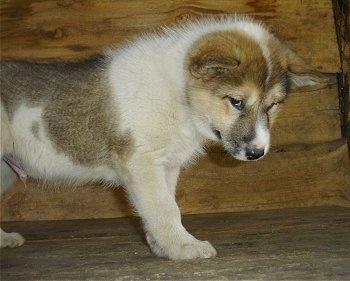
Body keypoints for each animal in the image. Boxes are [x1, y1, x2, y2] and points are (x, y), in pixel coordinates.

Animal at [0, 17, 328, 258]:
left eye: (273, 105)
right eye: (236, 102)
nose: (258, 152)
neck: (178, 94)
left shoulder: (166, 166)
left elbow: (163, 205)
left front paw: (162, 245)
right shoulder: (142, 162)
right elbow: (164, 208)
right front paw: (184, 247)